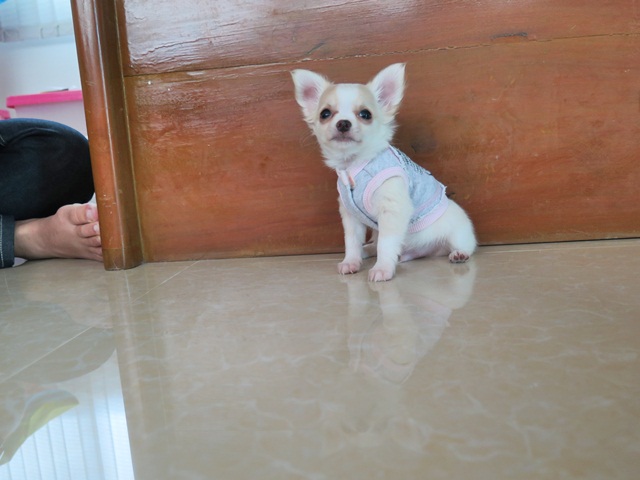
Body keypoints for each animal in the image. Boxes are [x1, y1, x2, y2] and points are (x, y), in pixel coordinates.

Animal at [292, 63, 476, 281]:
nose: (343, 123)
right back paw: (370, 250)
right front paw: (351, 261)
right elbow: (352, 242)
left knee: (464, 245)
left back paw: (459, 254)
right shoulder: (351, 216)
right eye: (325, 114)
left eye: (365, 114)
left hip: (458, 233)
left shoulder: (392, 211)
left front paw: (383, 269)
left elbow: (386, 244)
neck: (354, 165)